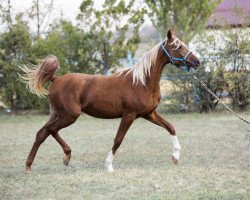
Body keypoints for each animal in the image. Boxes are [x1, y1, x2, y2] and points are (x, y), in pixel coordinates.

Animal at [20, 29, 200, 172]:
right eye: (177, 47)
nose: (197, 62)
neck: (141, 82)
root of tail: (55, 79)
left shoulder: (149, 113)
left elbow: (170, 127)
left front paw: (175, 157)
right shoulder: (129, 115)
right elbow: (118, 140)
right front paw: (109, 166)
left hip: (58, 115)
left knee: (42, 133)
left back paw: (31, 166)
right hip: (69, 116)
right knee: (50, 130)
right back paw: (64, 157)